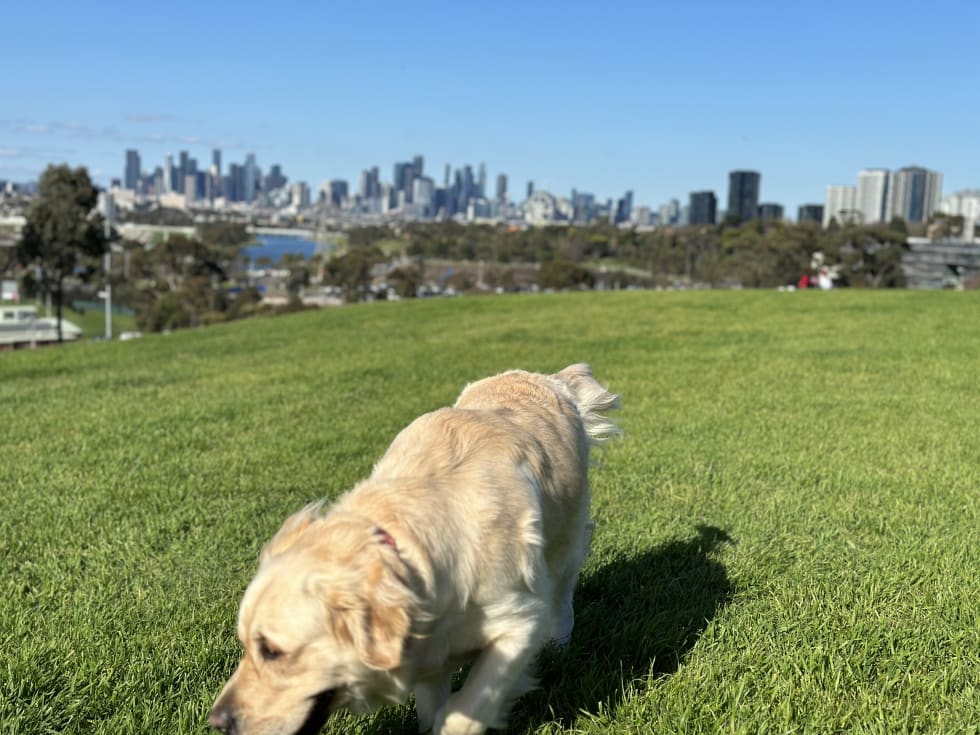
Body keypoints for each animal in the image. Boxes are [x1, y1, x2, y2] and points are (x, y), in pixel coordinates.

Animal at [209, 364, 620, 735]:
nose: (217, 722)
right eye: (245, 644)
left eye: (272, 651)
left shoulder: (518, 622)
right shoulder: (429, 656)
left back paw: (561, 643)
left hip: (567, 540)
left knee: (563, 593)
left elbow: (465, 711)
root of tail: (545, 378)